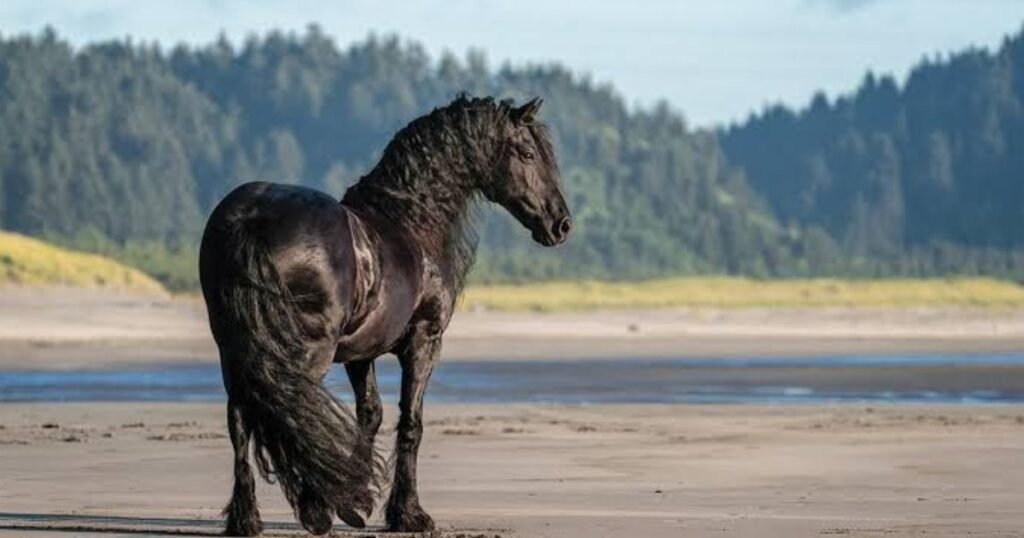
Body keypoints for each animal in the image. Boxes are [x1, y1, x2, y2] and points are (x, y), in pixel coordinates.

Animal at [199, 95, 570, 535]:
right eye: (527, 153)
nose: (561, 224)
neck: (411, 221)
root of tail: (253, 217)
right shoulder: (424, 340)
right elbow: (411, 422)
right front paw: (408, 513)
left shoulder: (361, 353)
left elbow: (370, 414)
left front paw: (357, 502)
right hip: (305, 350)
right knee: (292, 408)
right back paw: (313, 509)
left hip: (235, 350)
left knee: (241, 418)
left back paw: (246, 517)